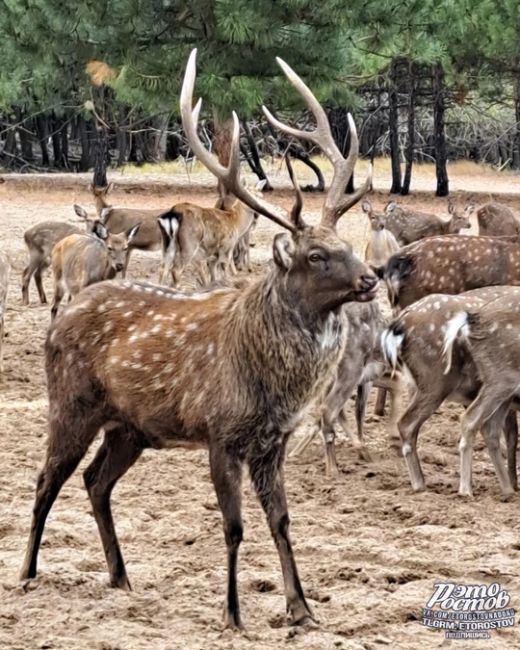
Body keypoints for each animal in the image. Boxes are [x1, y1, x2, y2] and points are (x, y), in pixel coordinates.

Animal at [21, 49, 378, 628]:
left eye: (345, 243)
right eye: (315, 255)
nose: (370, 279)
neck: (271, 384)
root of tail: (62, 318)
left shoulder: (272, 442)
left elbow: (282, 521)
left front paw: (301, 609)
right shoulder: (220, 433)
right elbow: (233, 527)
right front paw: (233, 613)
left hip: (130, 428)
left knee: (95, 481)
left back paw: (121, 577)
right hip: (71, 403)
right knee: (45, 479)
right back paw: (29, 573)